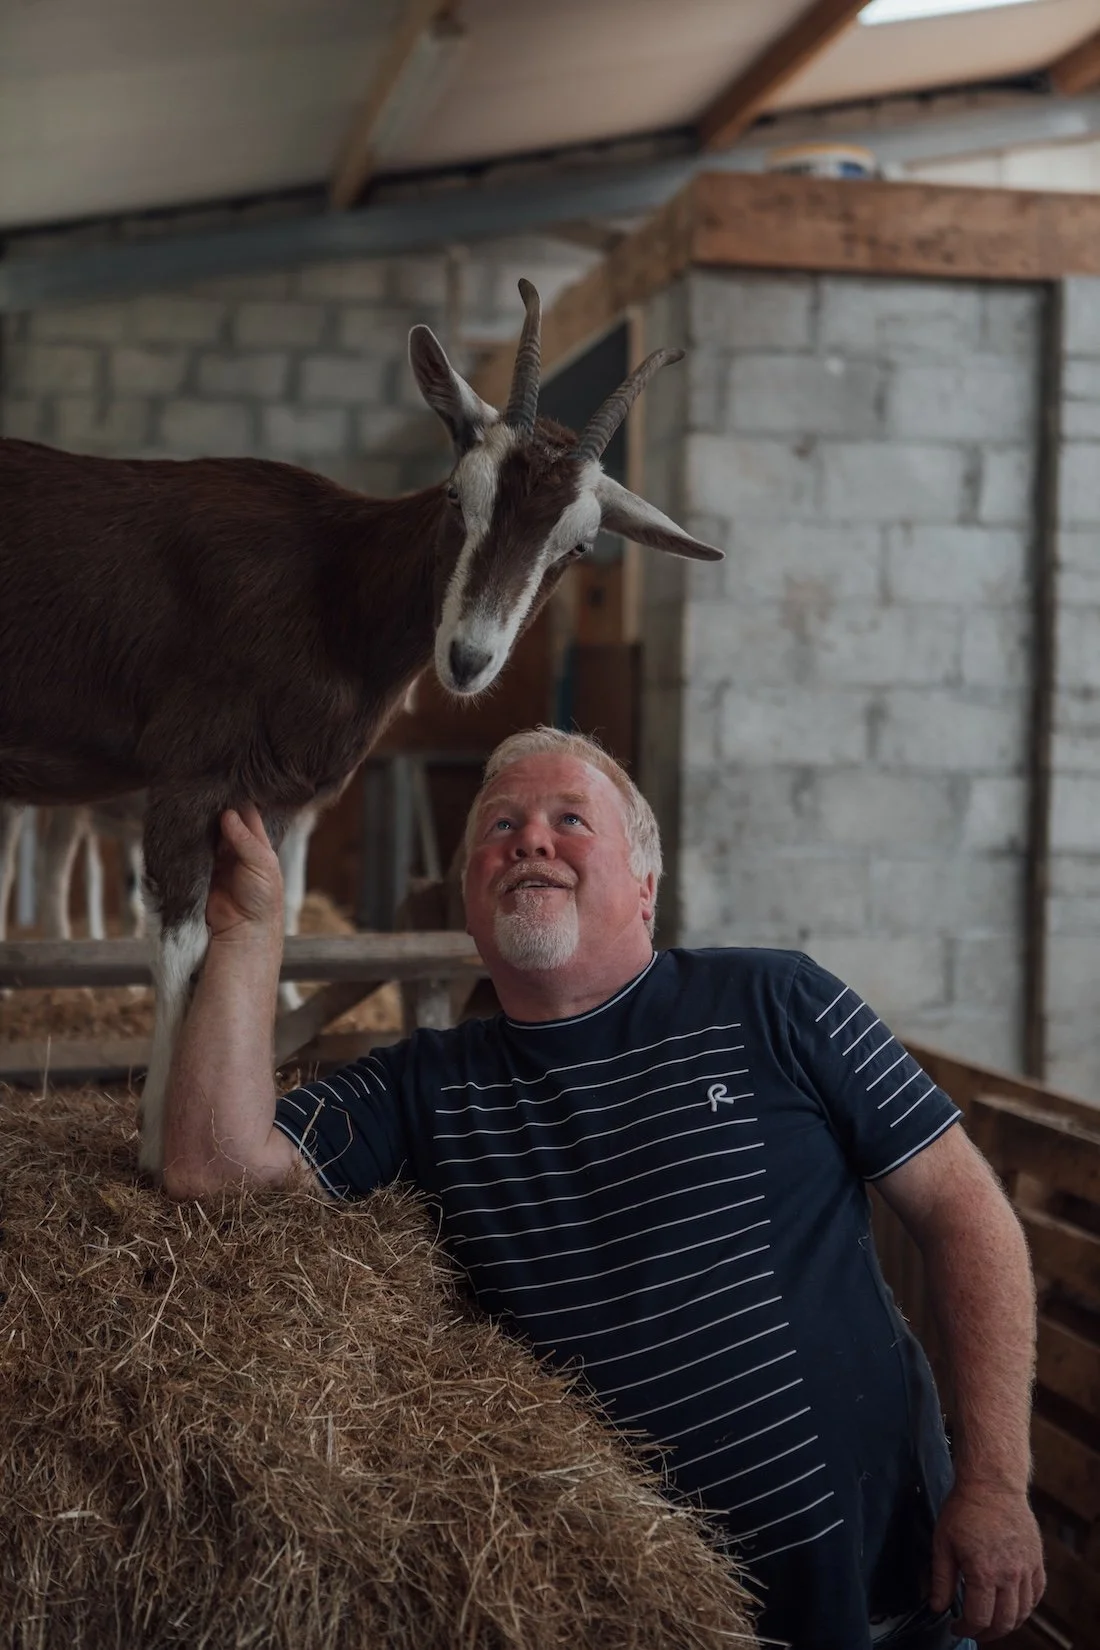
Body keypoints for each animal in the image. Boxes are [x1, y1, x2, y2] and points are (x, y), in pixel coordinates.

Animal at [0, 280, 721, 1176]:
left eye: (580, 546)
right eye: (455, 494)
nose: (469, 657)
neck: (330, 586)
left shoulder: (270, 799)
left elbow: (245, 935)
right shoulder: (189, 771)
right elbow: (179, 944)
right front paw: (161, 1146)